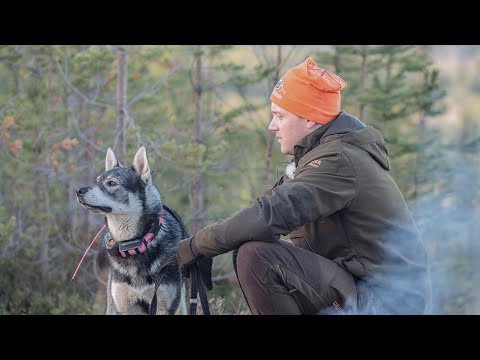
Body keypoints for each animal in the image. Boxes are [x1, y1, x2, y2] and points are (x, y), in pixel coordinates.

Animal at [76, 145, 187, 314]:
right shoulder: (124, 306)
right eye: (97, 181)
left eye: (112, 183)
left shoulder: (164, 306)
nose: (78, 191)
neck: (132, 245)